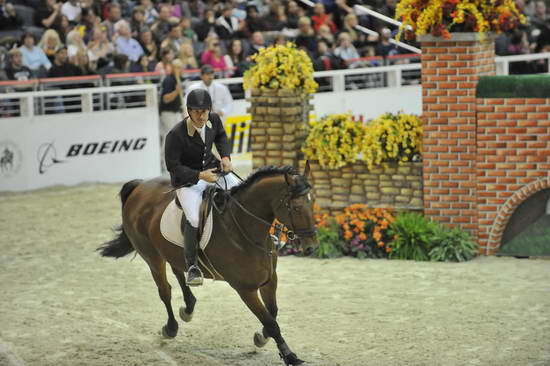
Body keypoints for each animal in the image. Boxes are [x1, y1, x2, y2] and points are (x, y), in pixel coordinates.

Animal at [97, 164, 316, 364]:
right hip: (152, 256)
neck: (244, 230)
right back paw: (170, 328)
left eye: (312, 203)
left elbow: (273, 314)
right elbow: (271, 323)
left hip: (170, 251)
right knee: (165, 290)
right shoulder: (245, 289)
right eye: (296, 208)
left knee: (179, 270)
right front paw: (290, 356)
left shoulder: (270, 280)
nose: (311, 247)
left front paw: (261, 338)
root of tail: (140, 187)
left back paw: (188, 306)